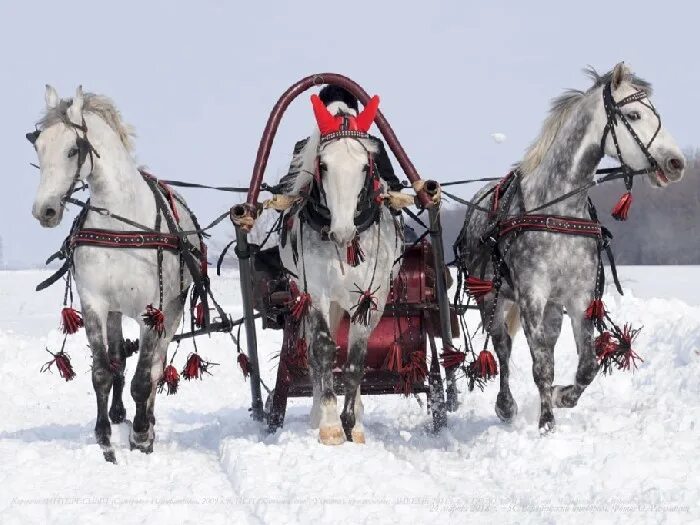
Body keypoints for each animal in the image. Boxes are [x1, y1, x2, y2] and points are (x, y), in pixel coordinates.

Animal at [31, 84, 201, 460]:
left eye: (72, 149)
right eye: (38, 146)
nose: (44, 210)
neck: (120, 223)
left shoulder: (154, 309)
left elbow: (144, 377)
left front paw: (140, 435)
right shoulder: (95, 302)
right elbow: (102, 372)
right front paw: (105, 437)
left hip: (173, 309)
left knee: (156, 366)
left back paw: (146, 423)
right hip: (115, 311)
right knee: (119, 360)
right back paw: (120, 413)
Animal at [278, 93, 402, 442]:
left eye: (365, 165)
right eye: (323, 165)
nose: (343, 231)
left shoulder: (372, 296)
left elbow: (356, 359)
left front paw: (353, 424)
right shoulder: (316, 292)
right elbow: (323, 350)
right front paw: (332, 424)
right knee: (317, 351)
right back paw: (317, 412)